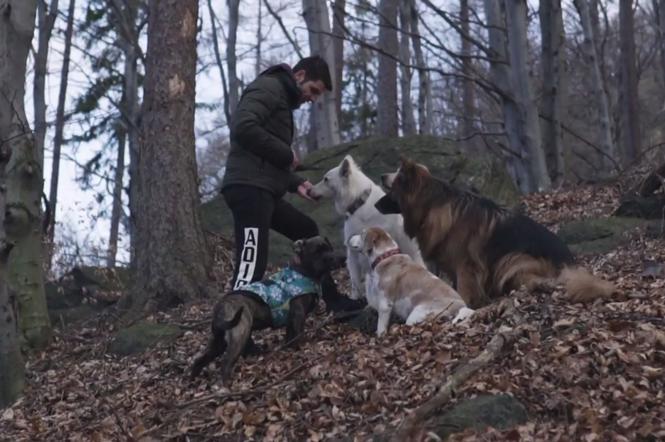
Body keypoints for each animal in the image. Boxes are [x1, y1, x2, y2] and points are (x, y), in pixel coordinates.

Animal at [187, 235, 342, 384]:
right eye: (317, 252)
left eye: (329, 248)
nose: (337, 257)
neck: (304, 271)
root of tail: (220, 306)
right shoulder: (298, 315)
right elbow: (298, 335)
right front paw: (301, 349)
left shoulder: (291, 319)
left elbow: (290, 337)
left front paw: (289, 349)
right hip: (239, 335)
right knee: (226, 363)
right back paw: (225, 386)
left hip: (218, 343)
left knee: (199, 361)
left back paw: (193, 380)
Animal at [306, 156, 420, 300]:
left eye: (326, 179)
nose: (308, 190)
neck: (359, 203)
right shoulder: (352, 252)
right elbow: (355, 280)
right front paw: (356, 298)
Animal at [376, 157, 616, 310]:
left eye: (392, 186)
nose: (381, 176)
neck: (433, 205)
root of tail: (570, 265)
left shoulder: (466, 266)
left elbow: (464, 290)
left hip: (513, 259)